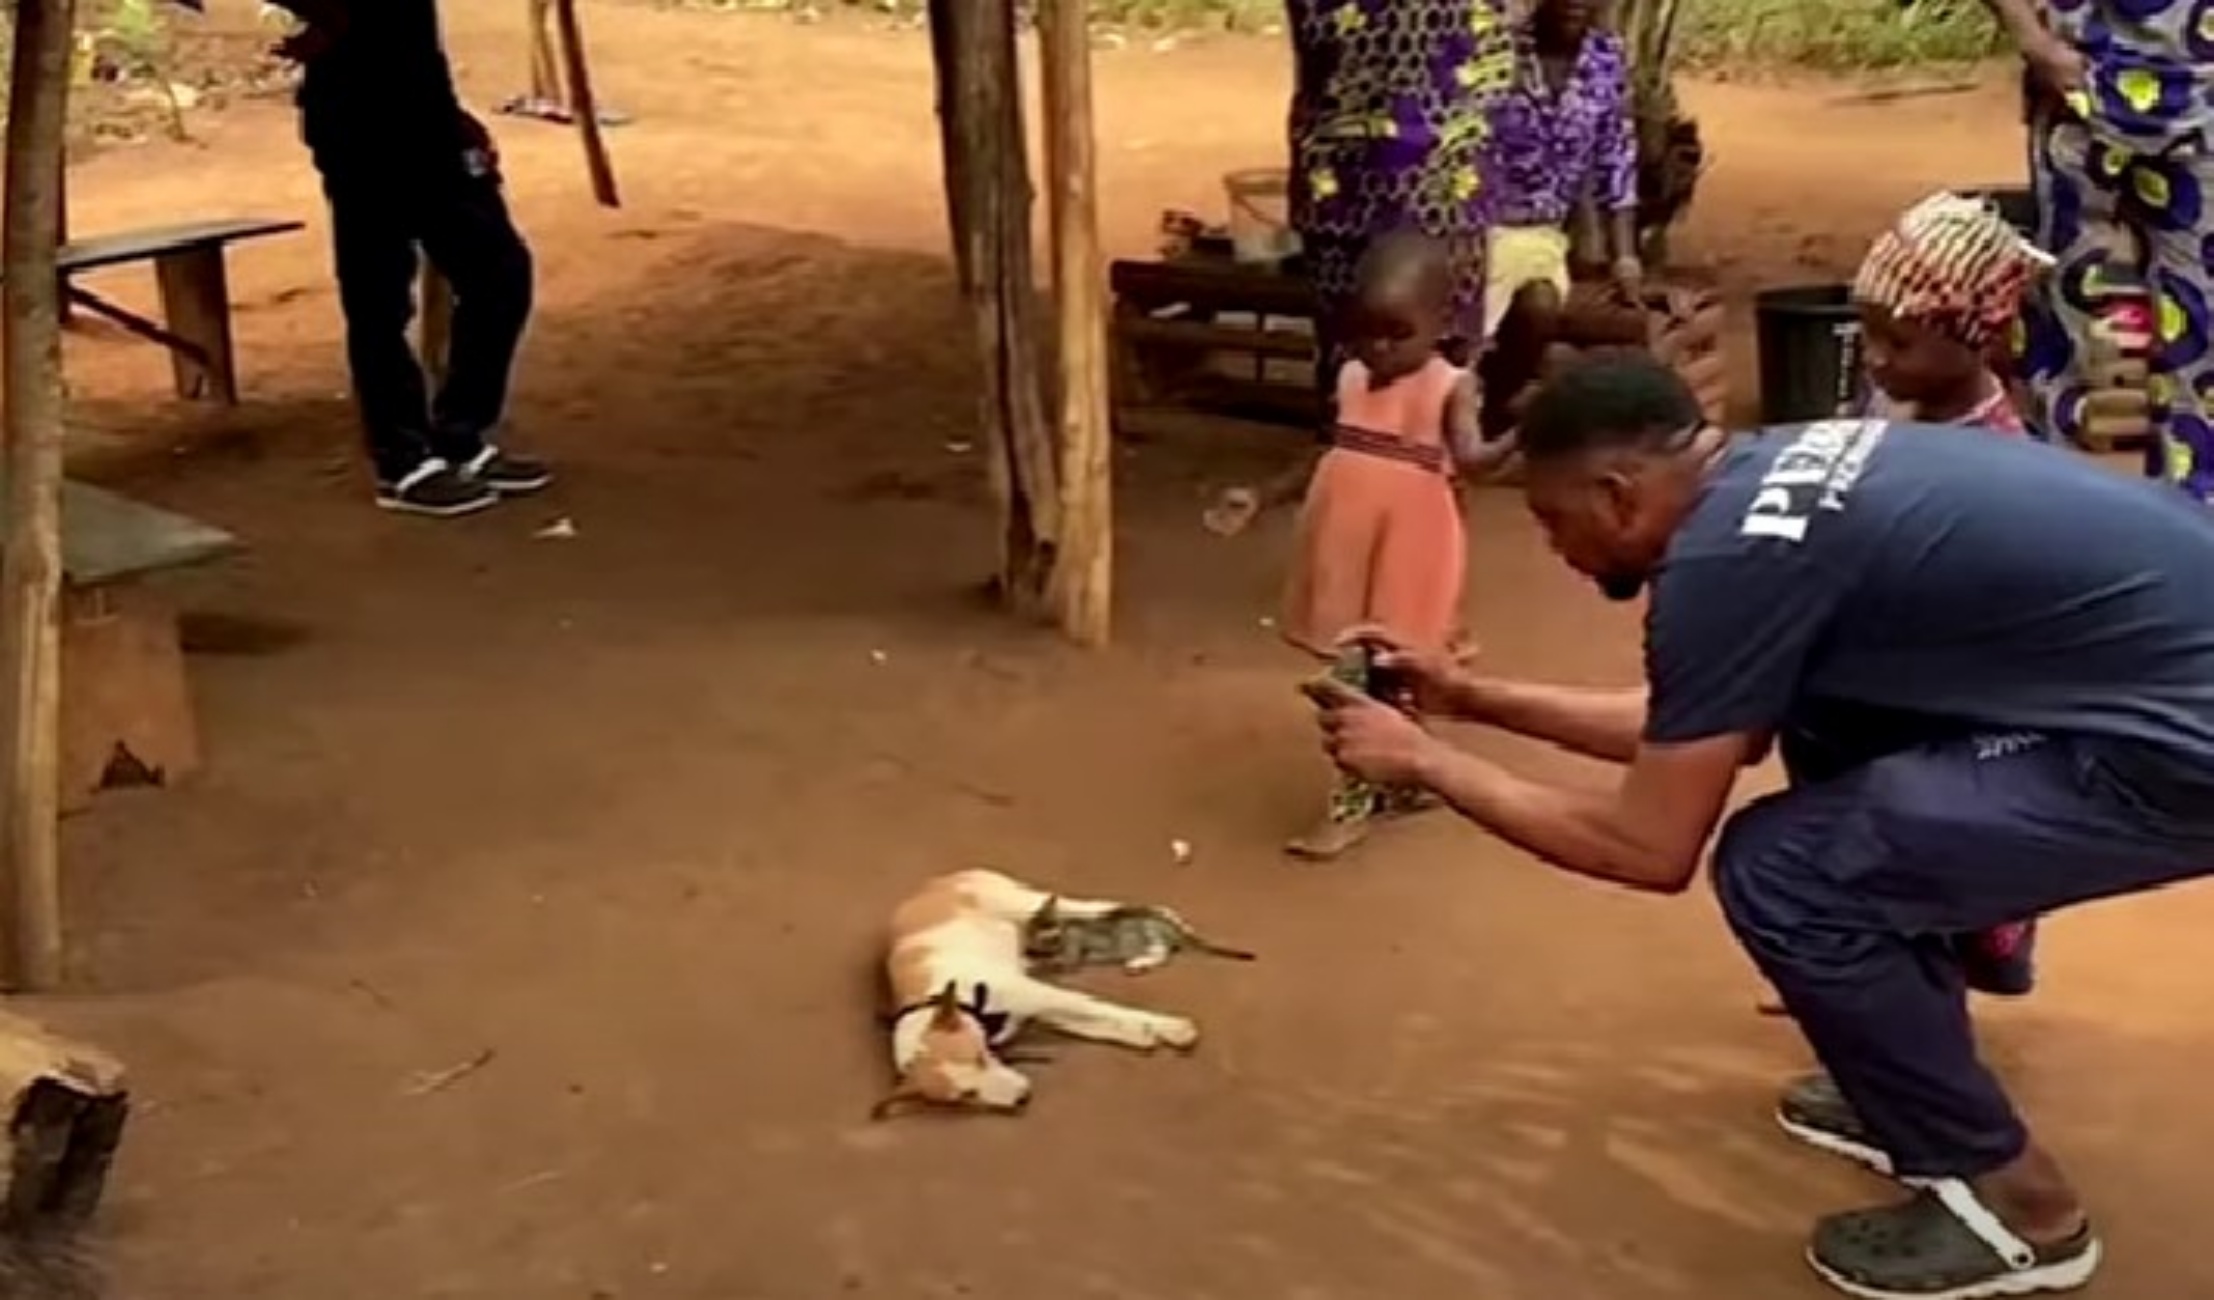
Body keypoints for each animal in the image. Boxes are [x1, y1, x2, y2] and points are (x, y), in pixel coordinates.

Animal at [872, 868, 1204, 1125]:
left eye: (980, 1057)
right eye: (967, 1096)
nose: (1022, 1100)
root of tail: (940, 880)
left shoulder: (1039, 995)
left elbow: (1104, 1009)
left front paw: (1171, 1027)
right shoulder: (1041, 1009)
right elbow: (1095, 1024)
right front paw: (1140, 1034)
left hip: (1028, 904)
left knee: (1105, 907)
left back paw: (1162, 917)